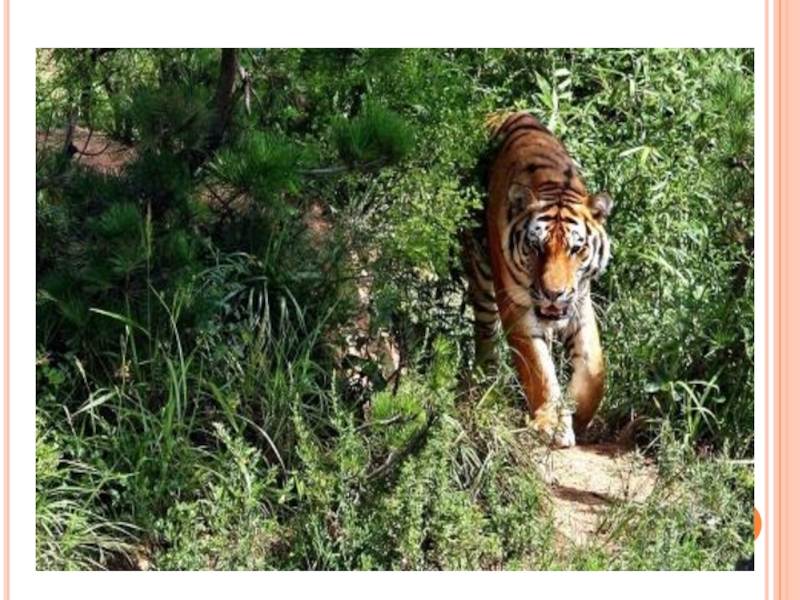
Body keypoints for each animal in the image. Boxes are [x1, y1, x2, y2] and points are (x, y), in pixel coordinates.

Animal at [460, 111, 613, 448]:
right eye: (536, 247)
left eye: (576, 249)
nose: (553, 293)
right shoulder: (516, 303)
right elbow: (538, 365)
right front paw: (552, 422)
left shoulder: (579, 300)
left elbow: (594, 368)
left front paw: (577, 414)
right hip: (481, 272)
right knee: (485, 333)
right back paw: (484, 383)